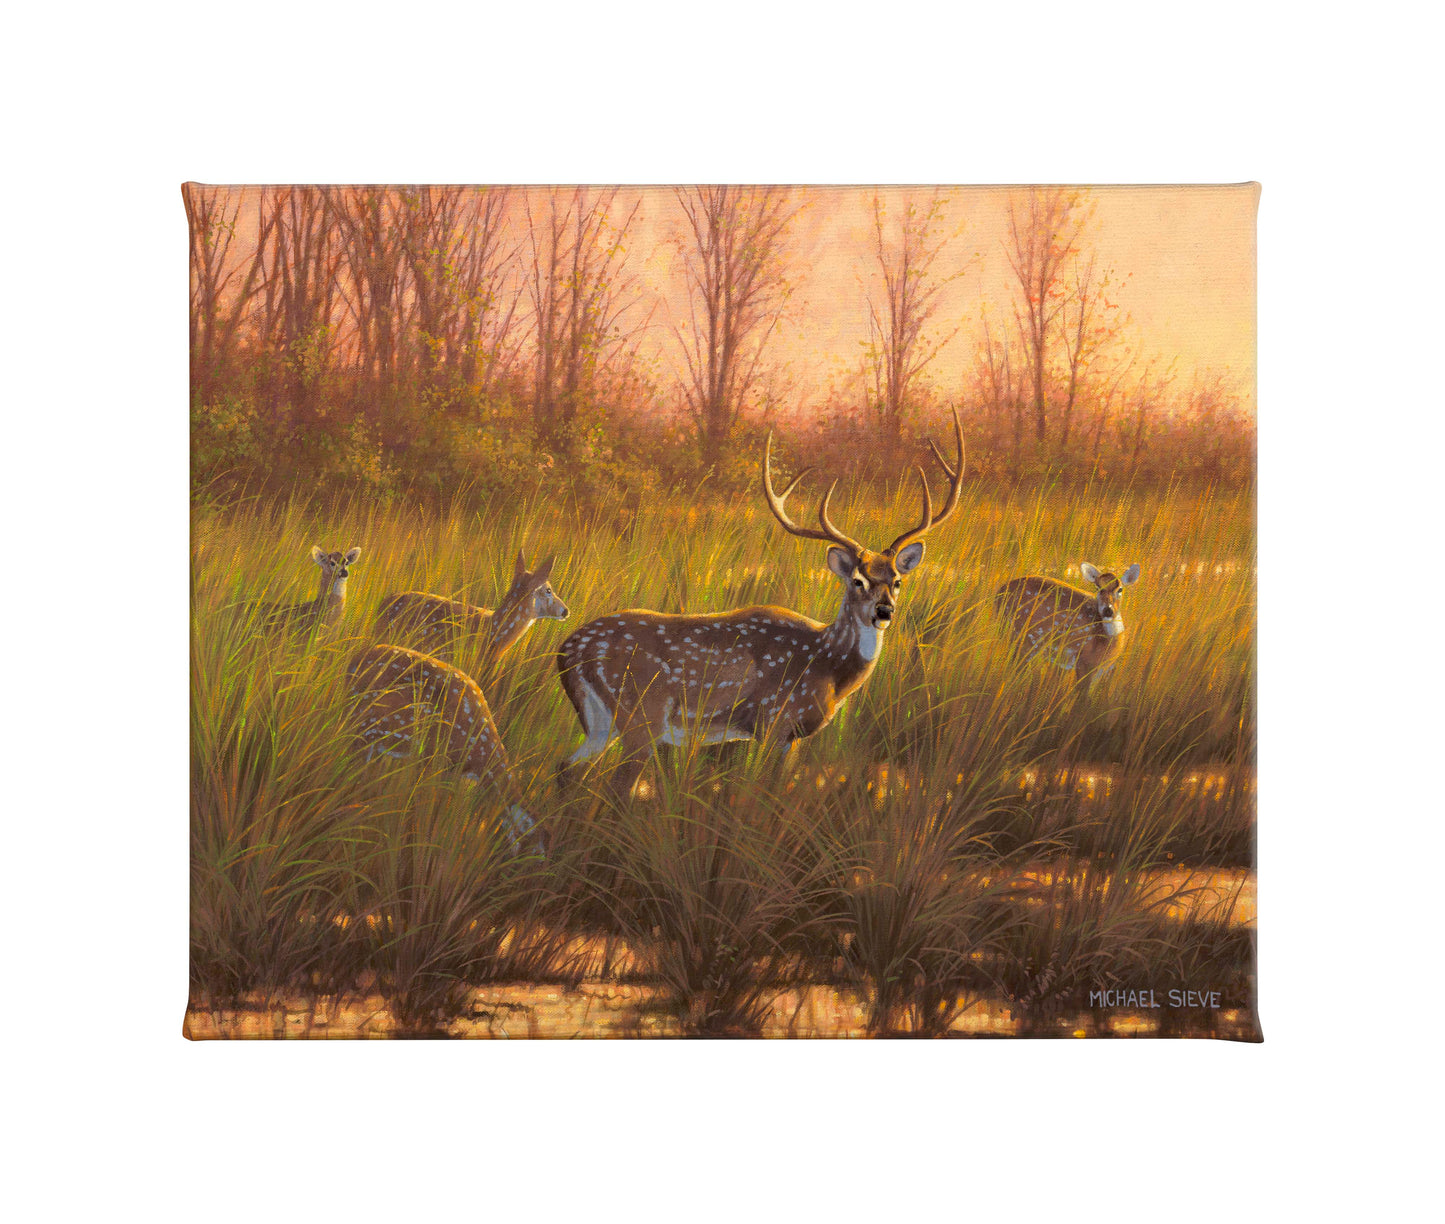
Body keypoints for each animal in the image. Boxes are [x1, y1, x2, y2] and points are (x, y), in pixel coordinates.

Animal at [556, 409, 965, 798]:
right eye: (857, 581)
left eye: (897, 581)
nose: (884, 611)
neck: (828, 666)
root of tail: (568, 650)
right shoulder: (775, 720)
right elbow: (762, 793)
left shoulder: (789, 737)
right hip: (642, 716)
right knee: (615, 786)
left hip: (600, 724)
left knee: (564, 769)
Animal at [995, 562, 1141, 686]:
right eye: (1098, 588)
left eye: (1120, 589)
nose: (1108, 610)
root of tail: (999, 591)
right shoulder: (1084, 663)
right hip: (1023, 636)